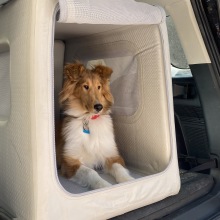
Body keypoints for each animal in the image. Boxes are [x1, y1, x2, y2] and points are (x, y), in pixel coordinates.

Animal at [55, 61, 133, 189]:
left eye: (99, 87)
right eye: (85, 86)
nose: (99, 107)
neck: (89, 119)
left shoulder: (112, 155)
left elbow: (120, 169)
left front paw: (129, 181)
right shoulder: (69, 162)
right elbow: (91, 172)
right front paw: (104, 186)